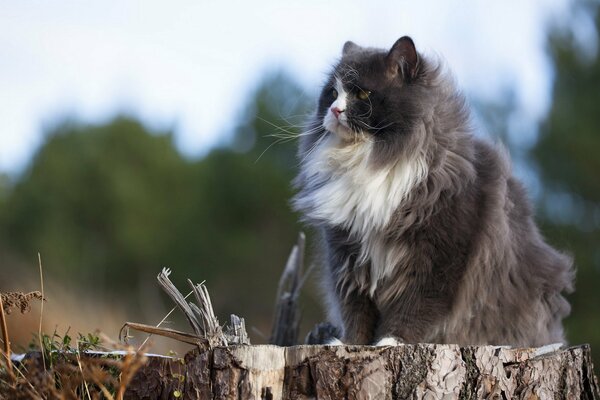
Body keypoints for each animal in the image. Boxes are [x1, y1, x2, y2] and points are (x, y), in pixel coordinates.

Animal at [292, 36, 576, 346]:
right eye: (332, 93)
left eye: (363, 94)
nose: (334, 110)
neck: (371, 160)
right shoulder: (349, 260)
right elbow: (356, 314)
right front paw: (351, 345)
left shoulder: (440, 261)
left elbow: (413, 309)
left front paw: (389, 343)